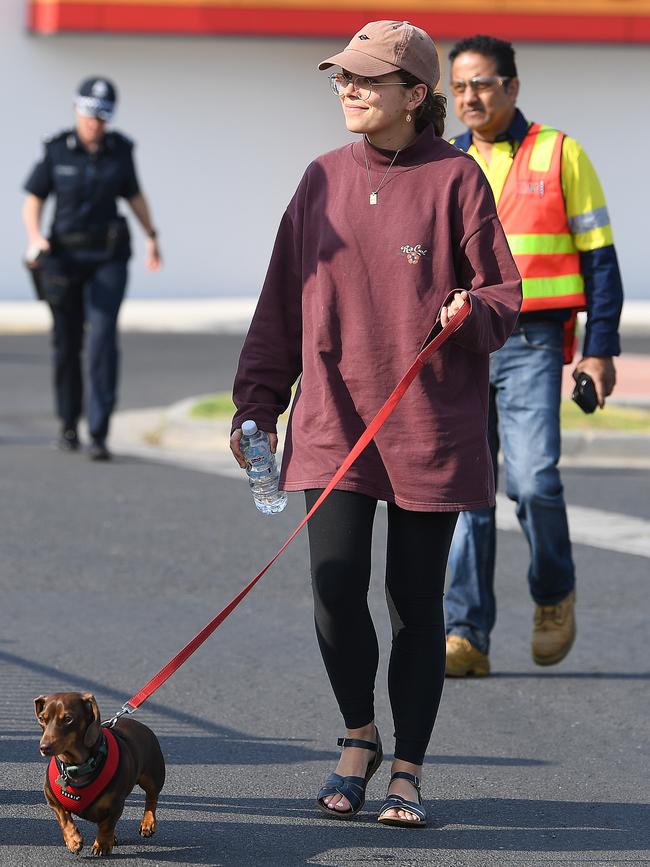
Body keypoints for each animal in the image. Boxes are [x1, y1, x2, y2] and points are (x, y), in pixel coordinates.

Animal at [33, 696, 166, 856]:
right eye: (42, 718)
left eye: (68, 719)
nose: (44, 747)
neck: (77, 767)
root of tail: (141, 725)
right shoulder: (53, 801)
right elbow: (64, 818)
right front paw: (73, 841)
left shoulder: (115, 805)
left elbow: (106, 826)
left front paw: (101, 845)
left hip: (152, 778)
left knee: (152, 798)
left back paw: (148, 824)